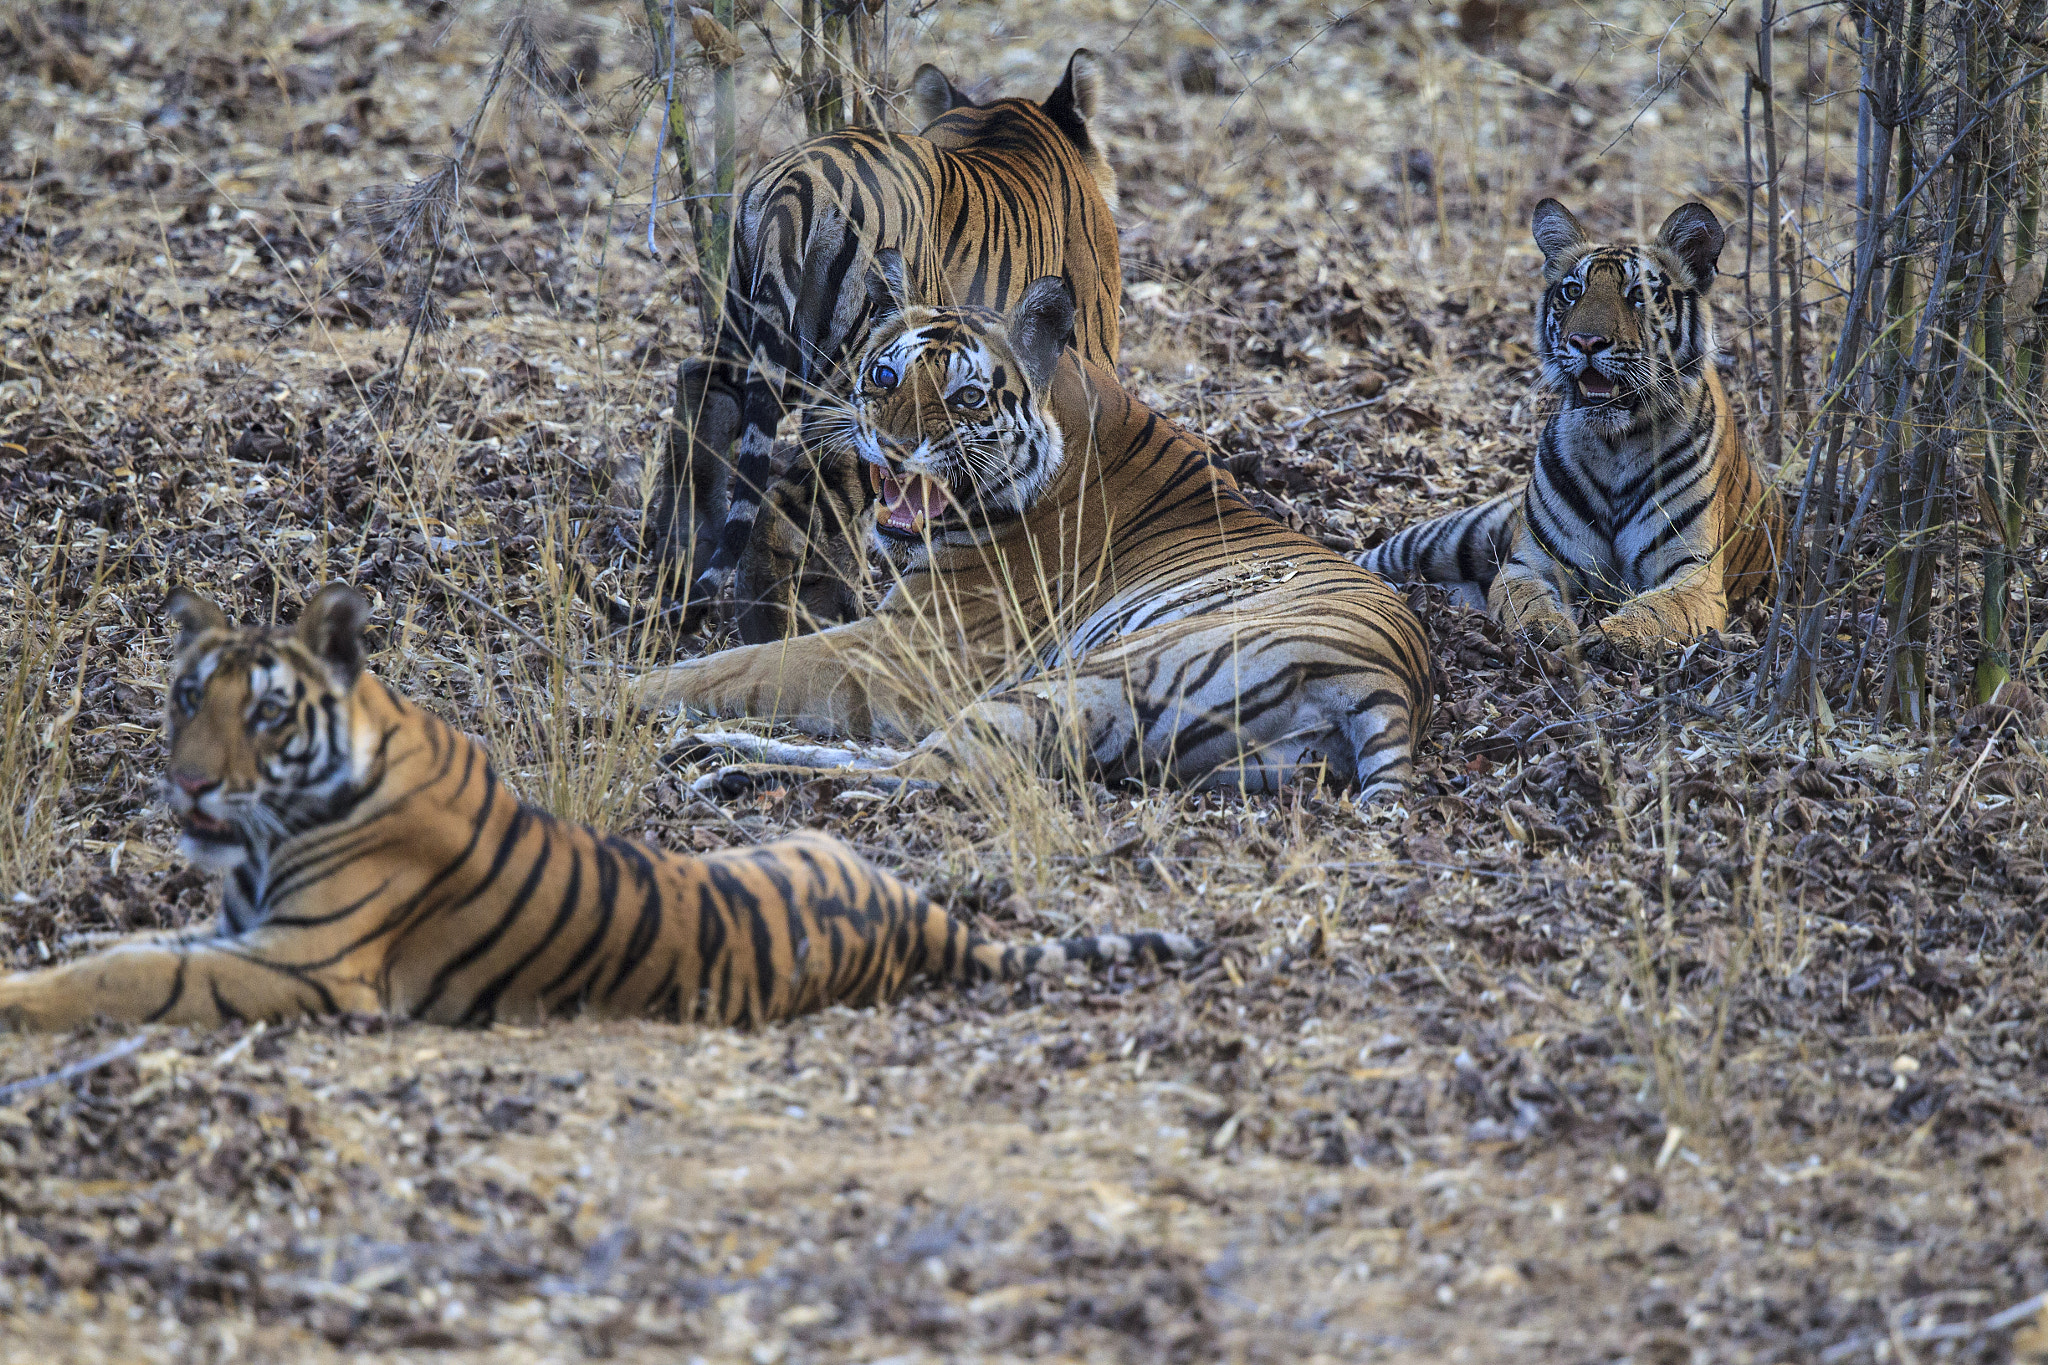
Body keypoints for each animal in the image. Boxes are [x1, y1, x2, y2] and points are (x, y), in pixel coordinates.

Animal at [0, 581, 1196, 1031]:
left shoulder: (309, 962)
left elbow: (131, 973)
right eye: (186, 698)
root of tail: (919, 921)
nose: (190, 784)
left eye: (266, 713)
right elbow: (135, 944)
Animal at [606, 263, 1441, 802]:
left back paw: (731, 769)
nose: (895, 447)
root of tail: (1389, 684)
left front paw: (624, 688)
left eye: (967, 396)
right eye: (884, 376)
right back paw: (721, 757)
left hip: (1085, 679)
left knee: (934, 770)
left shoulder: (909, 650)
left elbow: (745, 664)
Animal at [651, 42, 1122, 642]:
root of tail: (794, 187)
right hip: (850, 384)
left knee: (701, 392)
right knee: (786, 507)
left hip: (745, 328)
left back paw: (683, 564)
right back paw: (788, 626)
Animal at [1359, 196, 1777, 654]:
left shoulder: (1694, 574)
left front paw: (1612, 634)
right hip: (1446, 537)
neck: (1615, 445)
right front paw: (1546, 628)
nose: (1586, 342)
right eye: (1573, 291)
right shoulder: (1530, 562)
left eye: (1638, 295)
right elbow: (1527, 599)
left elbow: (1658, 609)